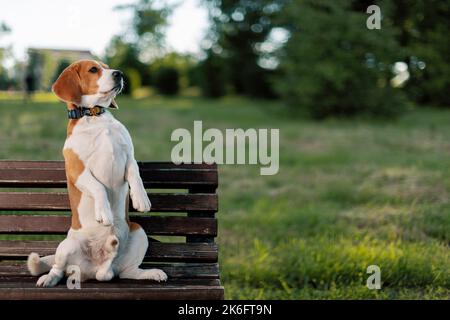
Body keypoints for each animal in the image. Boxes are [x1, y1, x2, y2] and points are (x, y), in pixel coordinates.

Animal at [28, 60, 169, 288]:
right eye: (93, 69)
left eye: (108, 66)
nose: (119, 74)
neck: (94, 116)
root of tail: (93, 269)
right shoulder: (77, 170)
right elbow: (99, 186)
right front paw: (104, 212)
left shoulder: (128, 156)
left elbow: (135, 175)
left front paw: (141, 199)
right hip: (65, 247)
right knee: (59, 269)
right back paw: (49, 278)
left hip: (139, 232)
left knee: (121, 273)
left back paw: (144, 269)